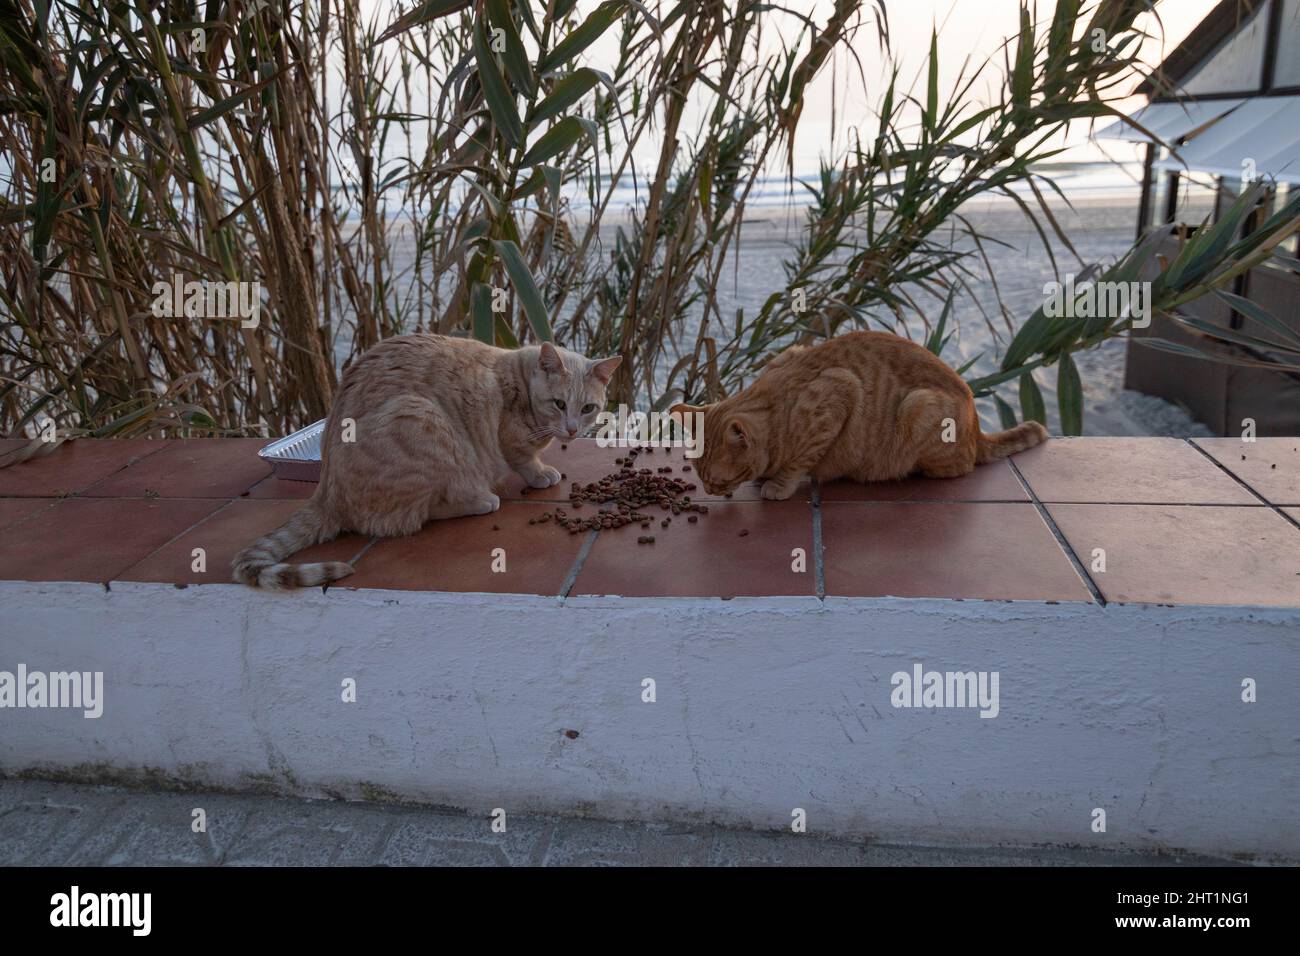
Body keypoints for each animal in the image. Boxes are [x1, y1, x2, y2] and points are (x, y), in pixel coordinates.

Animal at [236, 335, 621, 590]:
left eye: (588, 408)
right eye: (559, 403)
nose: (572, 429)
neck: (521, 381)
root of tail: (326, 492)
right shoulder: (509, 440)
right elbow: (525, 459)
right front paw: (540, 473)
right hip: (422, 419)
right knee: (407, 519)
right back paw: (480, 499)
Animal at [670, 332, 1045, 502]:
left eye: (717, 480)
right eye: (701, 476)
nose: (710, 491)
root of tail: (978, 428)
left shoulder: (839, 391)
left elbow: (800, 459)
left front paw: (778, 483)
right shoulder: (790, 353)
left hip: (919, 406)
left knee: (962, 466)